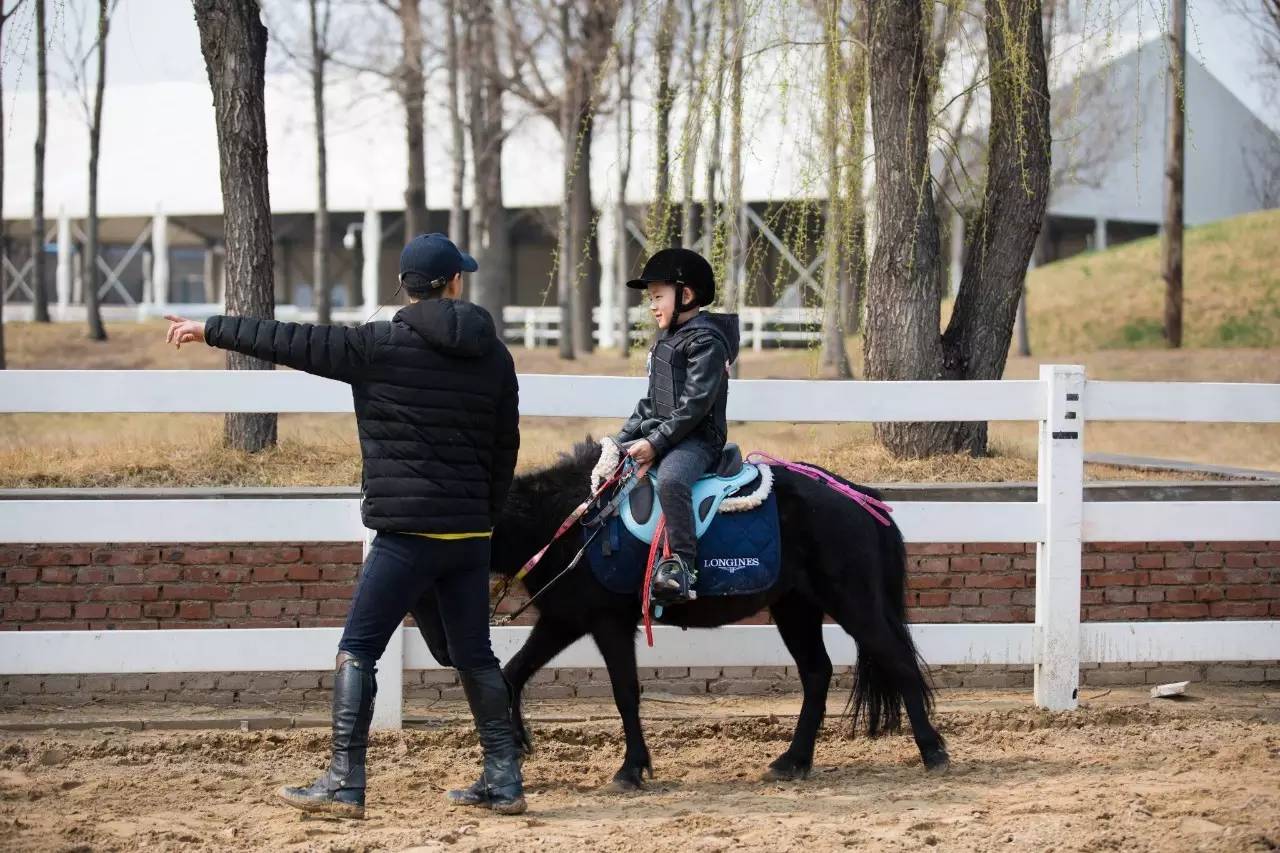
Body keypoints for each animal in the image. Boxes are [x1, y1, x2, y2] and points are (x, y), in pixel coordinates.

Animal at [414, 440, 947, 788]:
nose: (440, 650)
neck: (571, 520)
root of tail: (858, 496)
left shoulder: (606, 623)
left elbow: (625, 694)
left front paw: (631, 770)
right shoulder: (564, 619)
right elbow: (512, 674)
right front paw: (520, 745)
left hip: (852, 602)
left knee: (897, 662)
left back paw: (933, 751)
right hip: (796, 607)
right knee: (817, 673)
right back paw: (793, 761)